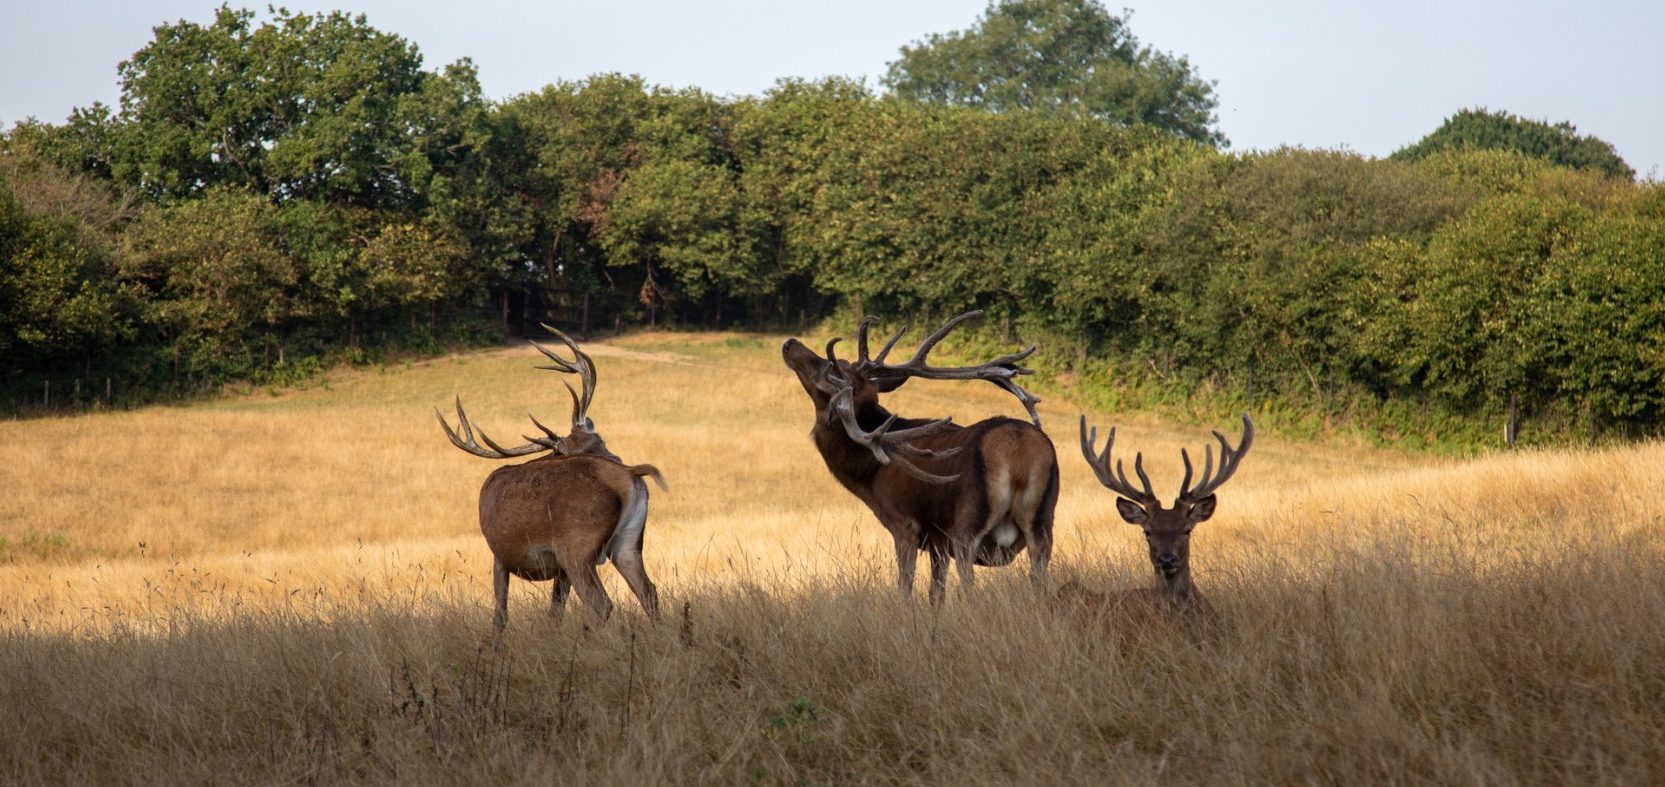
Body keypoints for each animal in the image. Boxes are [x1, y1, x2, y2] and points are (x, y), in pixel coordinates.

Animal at [436, 325, 666, 643]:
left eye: (599, 439)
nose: (616, 458)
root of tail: (628, 474)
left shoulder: (499, 554)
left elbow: (500, 616)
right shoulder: (558, 571)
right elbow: (554, 613)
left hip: (577, 546)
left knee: (602, 604)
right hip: (628, 542)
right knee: (649, 592)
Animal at [782, 310, 1059, 605]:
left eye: (829, 371)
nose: (790, 343)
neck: (870, 478)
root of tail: (1019, 452)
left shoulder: (904, 524)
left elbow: (906, 586)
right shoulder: (938, 541)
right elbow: (935, 594)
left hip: (968, 524)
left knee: (970, 585)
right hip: (1043, 524)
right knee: (1041, 579)